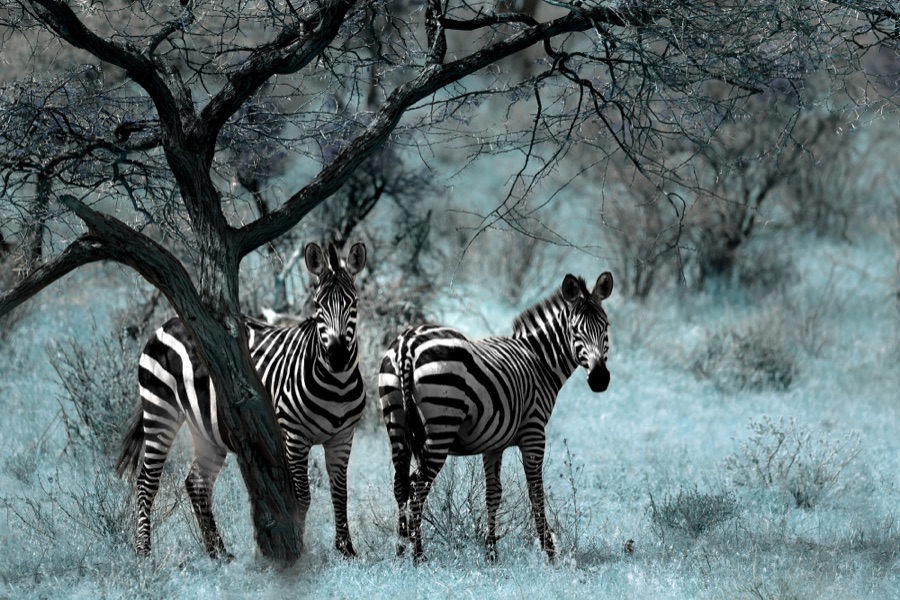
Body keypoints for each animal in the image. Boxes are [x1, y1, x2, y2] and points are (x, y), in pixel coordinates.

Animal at [115, 241, 367, 559]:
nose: (337, 357)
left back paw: (218, 553)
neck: (336, 384)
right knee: (147, 481)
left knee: (196, 483)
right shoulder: (293, 437)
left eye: (353, 303)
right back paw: (144, 553)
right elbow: (303, 497)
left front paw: (347, 550)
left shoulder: (343, 437)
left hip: (207, 427)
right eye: (318, 307)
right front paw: (300, 550)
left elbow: (340, 492)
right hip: (160, 408)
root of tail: (170, 322)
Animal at [378, 270, 613, 563]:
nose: (600, 379)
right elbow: (535, 491)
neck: (539, 361)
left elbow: (493, 493)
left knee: (400, 485)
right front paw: (549, 550)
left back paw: (400, 551)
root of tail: (407, 343)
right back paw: (418, 555)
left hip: (395, 423)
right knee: (418, 488)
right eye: (575, 330)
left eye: (606, 327)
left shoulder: (493, 443)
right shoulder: (534, 432)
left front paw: (491, 552)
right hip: (441, 427)